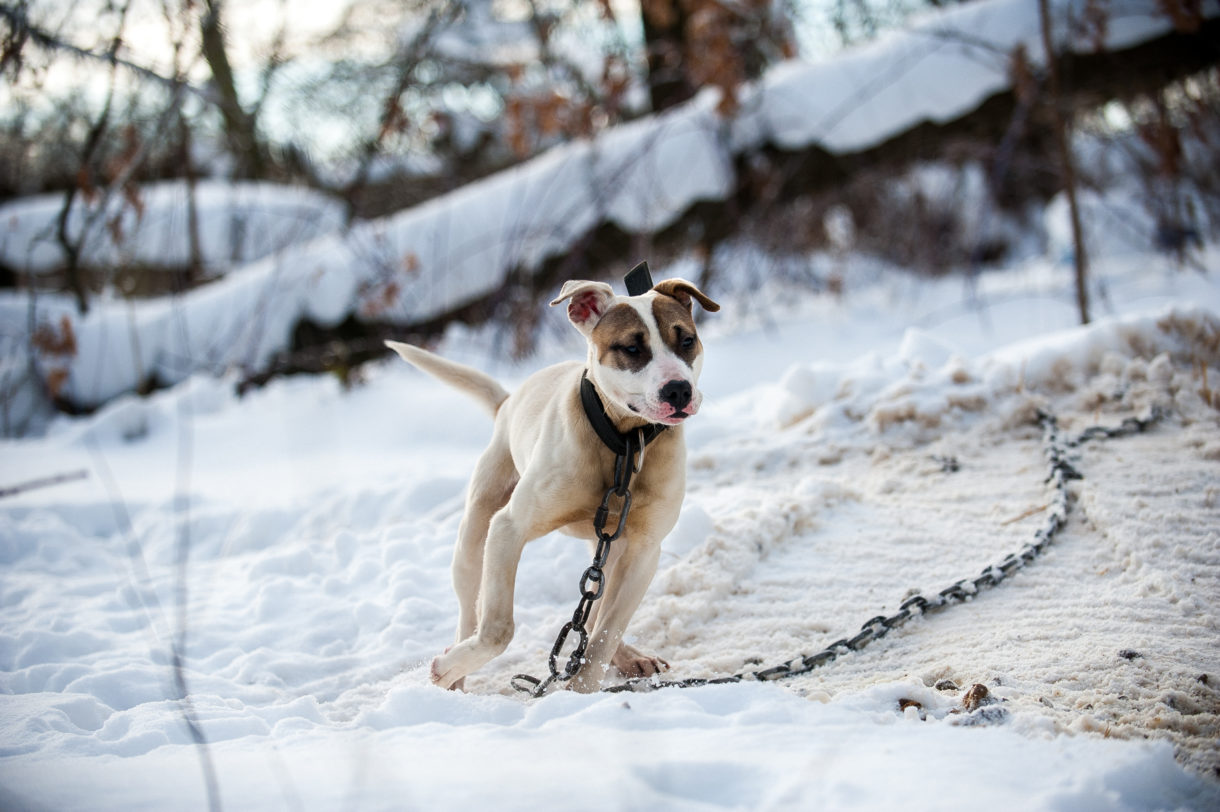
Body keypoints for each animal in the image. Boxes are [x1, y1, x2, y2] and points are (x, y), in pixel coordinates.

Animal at [385, 273, 717, 687]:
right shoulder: (508, 529)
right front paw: (446, 668)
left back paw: (629, 656)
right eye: (631, 347)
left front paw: (579, 692)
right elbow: (498, 629)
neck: (622, 442)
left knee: (596, 608)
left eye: (686, 340)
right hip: (476, 533)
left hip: (610, 547)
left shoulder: (643, 551)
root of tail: (508, 402)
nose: (678, 389)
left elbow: (604, 636)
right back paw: (455, 677)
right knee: (469, 608)